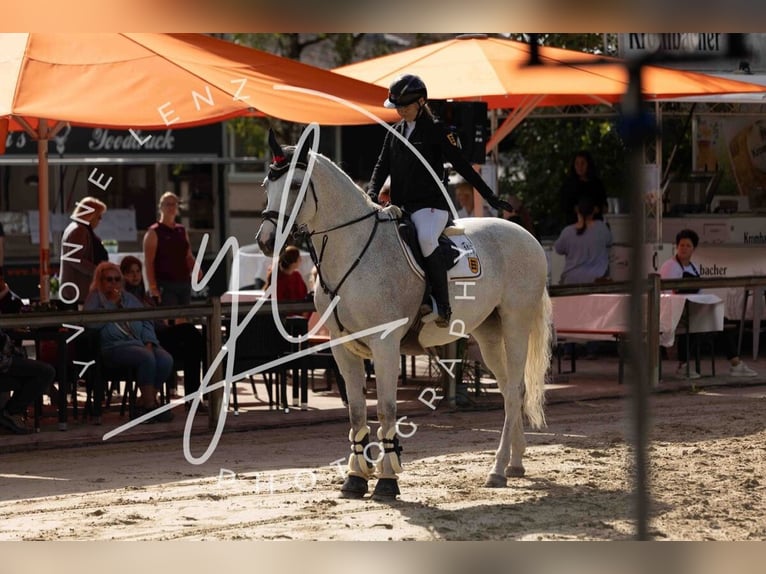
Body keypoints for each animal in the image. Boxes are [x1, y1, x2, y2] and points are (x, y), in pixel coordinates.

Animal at [256, 128, 552, 502]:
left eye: (296, 185)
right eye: (267, 184)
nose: (266, 242)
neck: (352, 248)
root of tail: (526, 235)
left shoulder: (385, 345)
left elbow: (386, 409)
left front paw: (386, 480)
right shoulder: (342, 346)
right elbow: (356, 411)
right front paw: (355, 478)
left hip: (515, 324)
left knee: (514, 389)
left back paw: (498, 469)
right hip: (488, 333)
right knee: (510, 391)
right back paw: (515, 463)